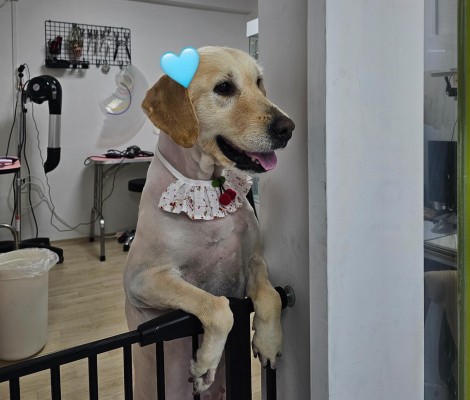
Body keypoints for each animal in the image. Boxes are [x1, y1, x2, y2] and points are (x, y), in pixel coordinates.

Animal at [123, 46, 295, 399]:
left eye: (259, 83)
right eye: (224, 88)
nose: (289, 127)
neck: (208, 185)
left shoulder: (254, 261)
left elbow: (270, 297)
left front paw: (268, 342)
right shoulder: (143, 279)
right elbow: (218, 307)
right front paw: (205, 363)